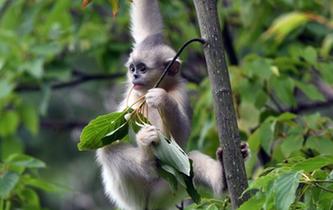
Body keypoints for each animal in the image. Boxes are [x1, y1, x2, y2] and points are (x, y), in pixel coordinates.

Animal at [94, 0, 248, 210]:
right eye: (132, 68)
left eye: (142, 68)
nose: (134, 76)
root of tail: (144, 203)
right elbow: (147, 22)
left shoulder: (180, 94)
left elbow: (177, 135)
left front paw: (162, 99)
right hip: (131, 192)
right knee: (108, 148)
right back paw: (145, 159)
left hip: (168, 187)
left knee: (191, 161)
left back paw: (222, 174)